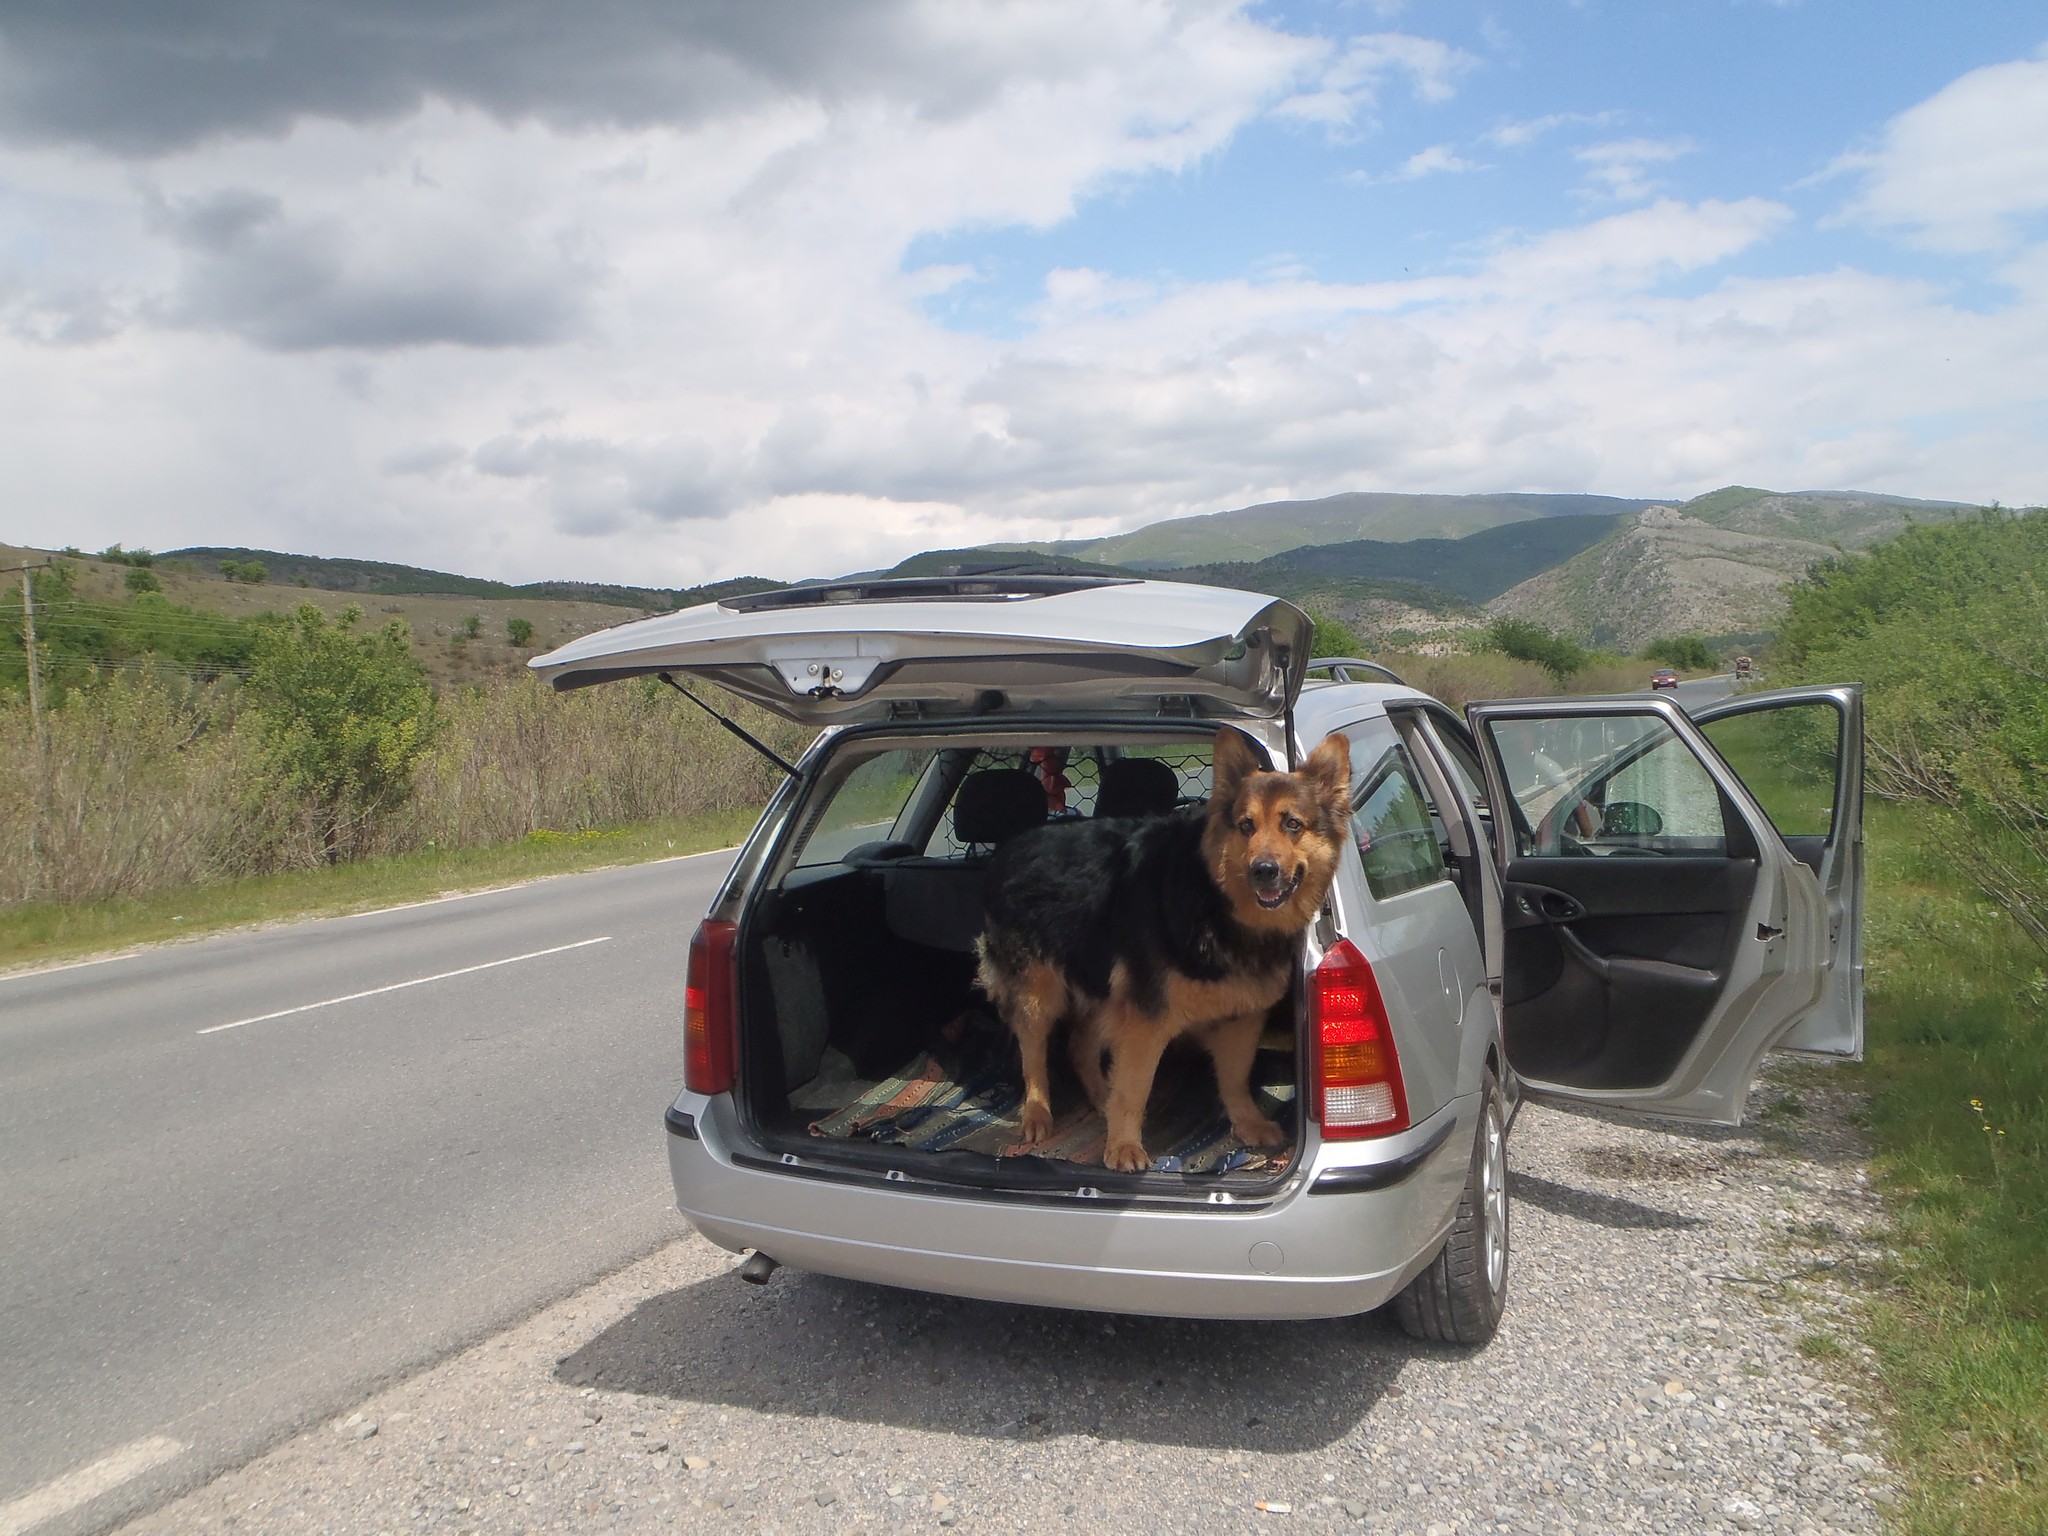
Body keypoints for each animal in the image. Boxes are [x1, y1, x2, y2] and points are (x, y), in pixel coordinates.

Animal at [975, 727, 1352, 1173]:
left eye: (1292, 824)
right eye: (1246, 826)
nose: (1263, 871)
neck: (1215, 899)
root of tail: (1010, 845)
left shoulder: (1240, 1015)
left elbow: (1235, 1076)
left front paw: (1246, 1122)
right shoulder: (1145, 1018)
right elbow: (1134, 1087)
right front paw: (1123, 1146)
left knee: (1079, 1047)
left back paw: (1099, 1098)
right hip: (1040, 994)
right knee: (1033, 1052)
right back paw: (1037, 1113)